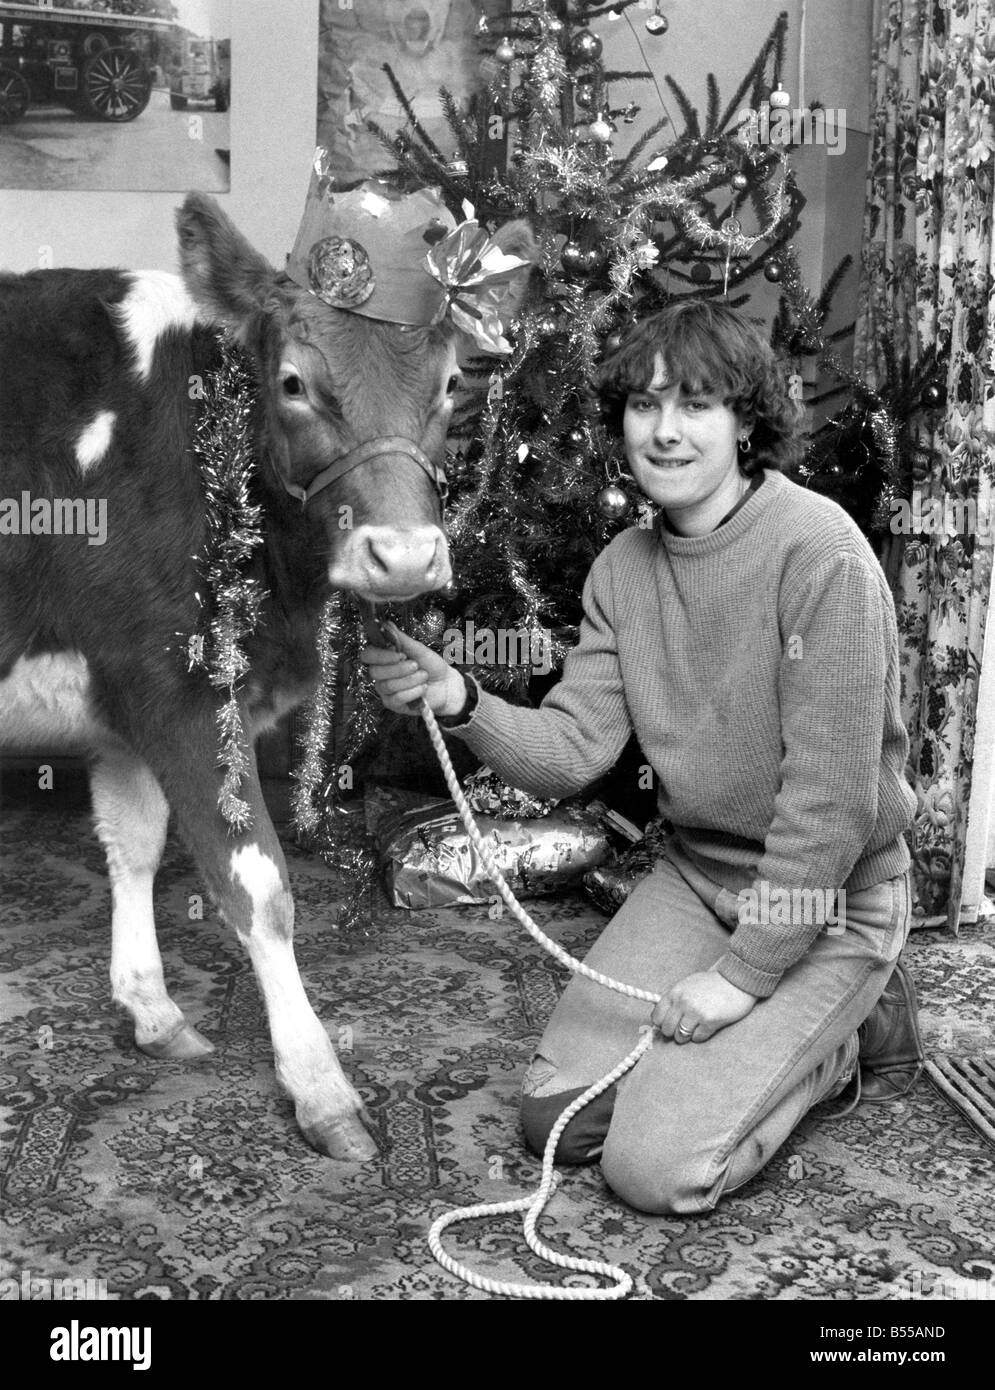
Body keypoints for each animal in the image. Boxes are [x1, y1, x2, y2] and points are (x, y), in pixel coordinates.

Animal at [0, 190, 536, 1156]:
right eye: (293, 383)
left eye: (449, 385)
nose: (404, 558)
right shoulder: (181, 692)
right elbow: (258, 887)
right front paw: (321, 1089)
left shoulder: (126, 704)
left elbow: (133, 846)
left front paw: (153, 1011)